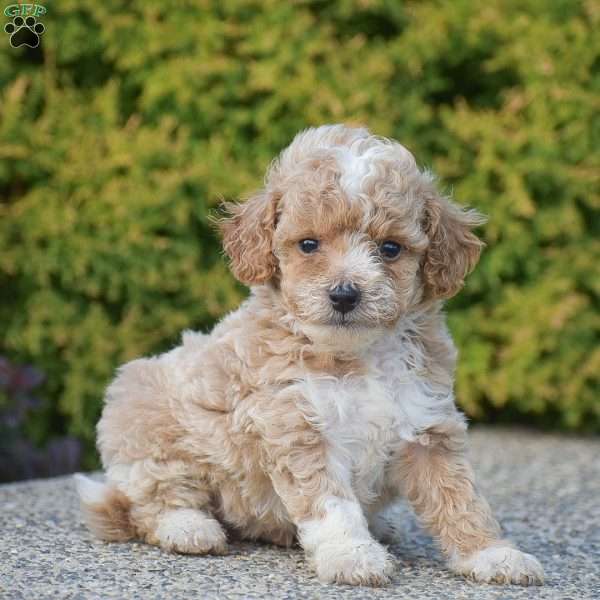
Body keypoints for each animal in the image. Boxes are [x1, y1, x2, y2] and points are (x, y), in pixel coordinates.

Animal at [75, 123, 544, 584]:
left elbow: (460, 498)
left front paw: (491, 554)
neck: (359, 356)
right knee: (152, 499)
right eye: (308, 245)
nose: (344, 294)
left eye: (390, 248)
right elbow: (331, 503)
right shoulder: (297, 427)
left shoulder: (428, 427)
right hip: (145, 418)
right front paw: (351, 555)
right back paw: (189, 528)